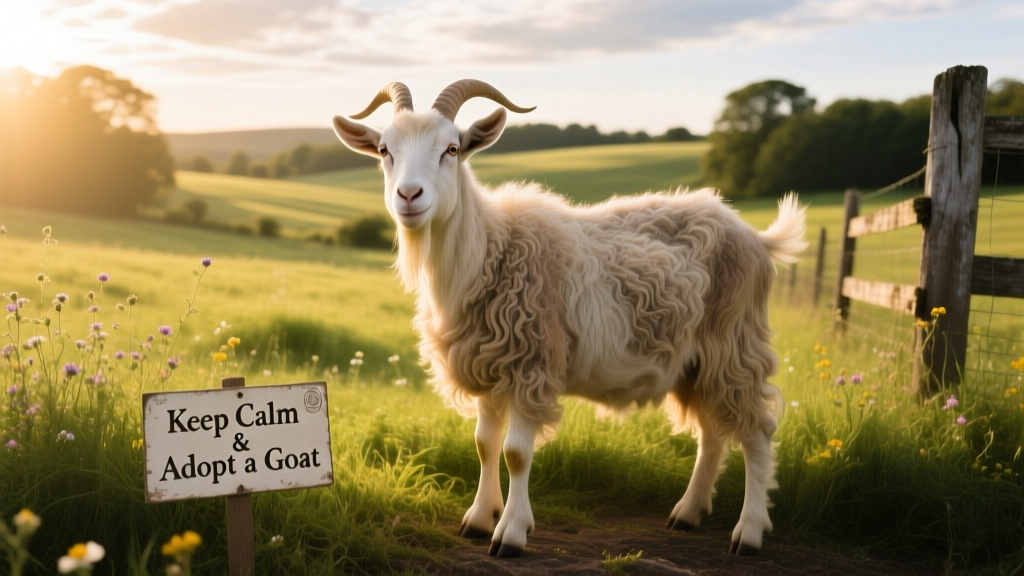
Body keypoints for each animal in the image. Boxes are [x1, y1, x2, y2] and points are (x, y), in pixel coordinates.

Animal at [333, 80, 807, 558]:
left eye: (452, 148)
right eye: (385, 150)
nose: (409, 196)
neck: (489, 251)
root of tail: (757, 238)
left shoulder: (532, 363)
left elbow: (515, 453)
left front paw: (510, 533)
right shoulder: (490, 365)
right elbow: (485, 445)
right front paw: (478, 519)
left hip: (734, 344)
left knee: (757, 431)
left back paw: (748, 532)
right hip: (696, 363)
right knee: (712, 433)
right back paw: (687, 513)